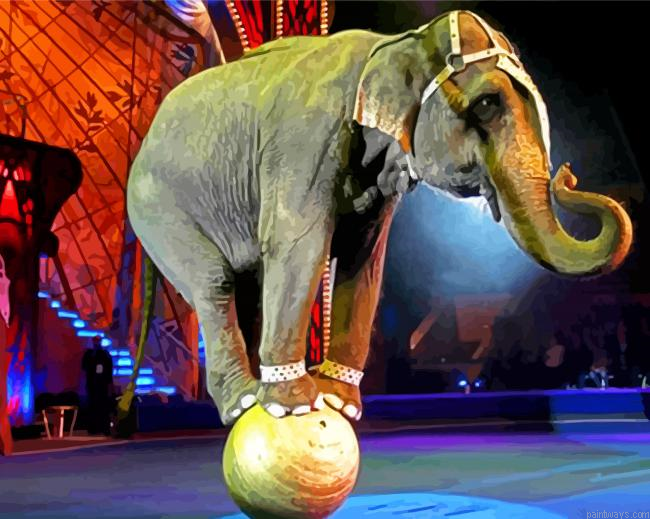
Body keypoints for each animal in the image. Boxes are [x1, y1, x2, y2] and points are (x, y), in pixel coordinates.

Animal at [127, 10, 632, 425]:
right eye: (487, 105)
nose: (568, 176)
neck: (393, 44)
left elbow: (364, 258)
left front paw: (339, 402)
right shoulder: (303, 137)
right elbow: (300, 244)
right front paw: (295, 406)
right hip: (156, 205)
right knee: (214, 282)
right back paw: (247, 403)